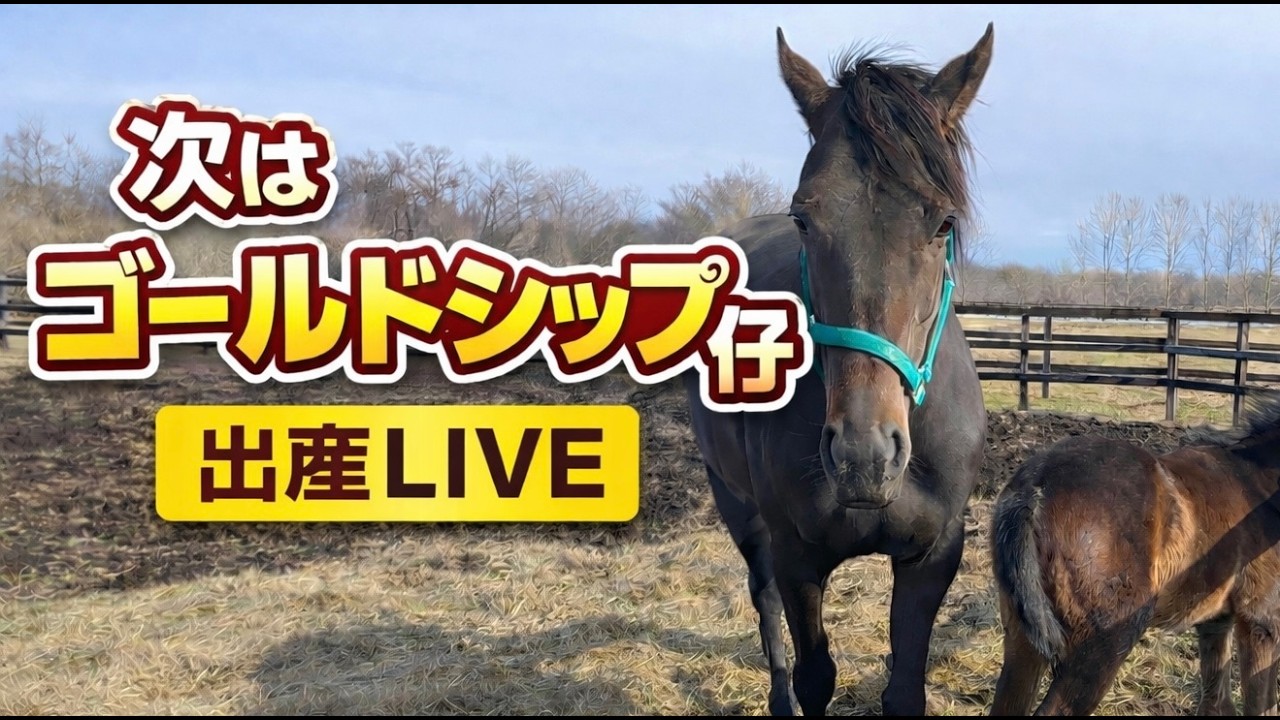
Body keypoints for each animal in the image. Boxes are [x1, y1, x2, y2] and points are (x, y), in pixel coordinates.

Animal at [680, 24, 994, 716]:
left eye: (944, 221)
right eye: (804, 217)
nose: (863, 457)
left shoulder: (933, 555)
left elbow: (905, 688)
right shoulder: (798, 555)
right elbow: (814, 675)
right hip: (735, 502)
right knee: (763, 600)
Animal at [989, 392, 1280, 716]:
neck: (1260, 483)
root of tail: (1035, 486)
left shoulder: (1215, 622)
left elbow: (1216, 701)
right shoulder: (1261, 620)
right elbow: (1262, 704)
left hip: (1023, 638)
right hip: (1105, 642)